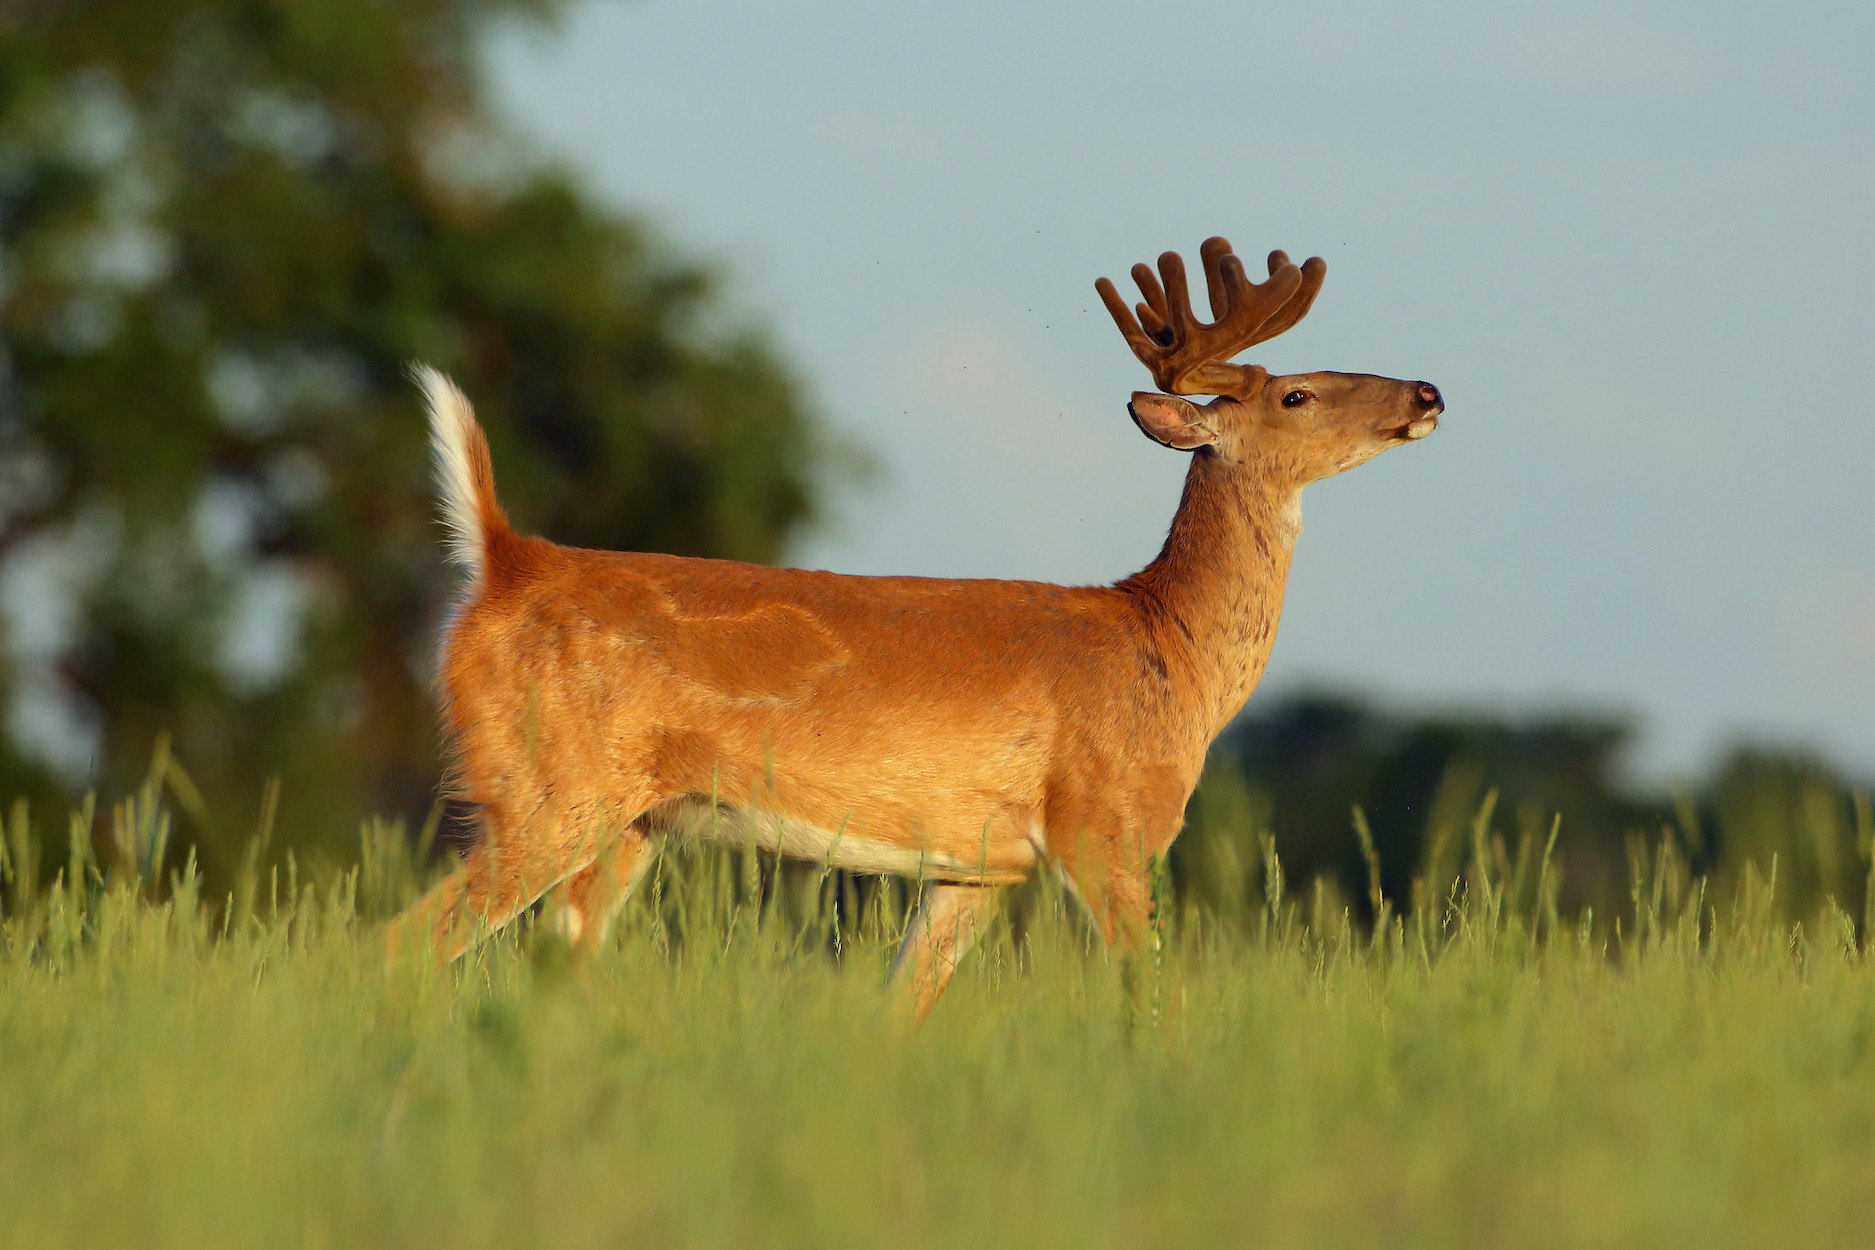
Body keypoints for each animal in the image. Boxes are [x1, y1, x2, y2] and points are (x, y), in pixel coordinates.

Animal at [388, 239, 1440, 1019]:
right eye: (1295, 393)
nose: (1426, 392)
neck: (1166, 645)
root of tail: (504, 558)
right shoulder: (1104, 823)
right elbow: (1156, 1003)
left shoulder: (978, 867)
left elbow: (900, 1013)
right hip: (544, 789)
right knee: (398, 945)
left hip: (630, 822)